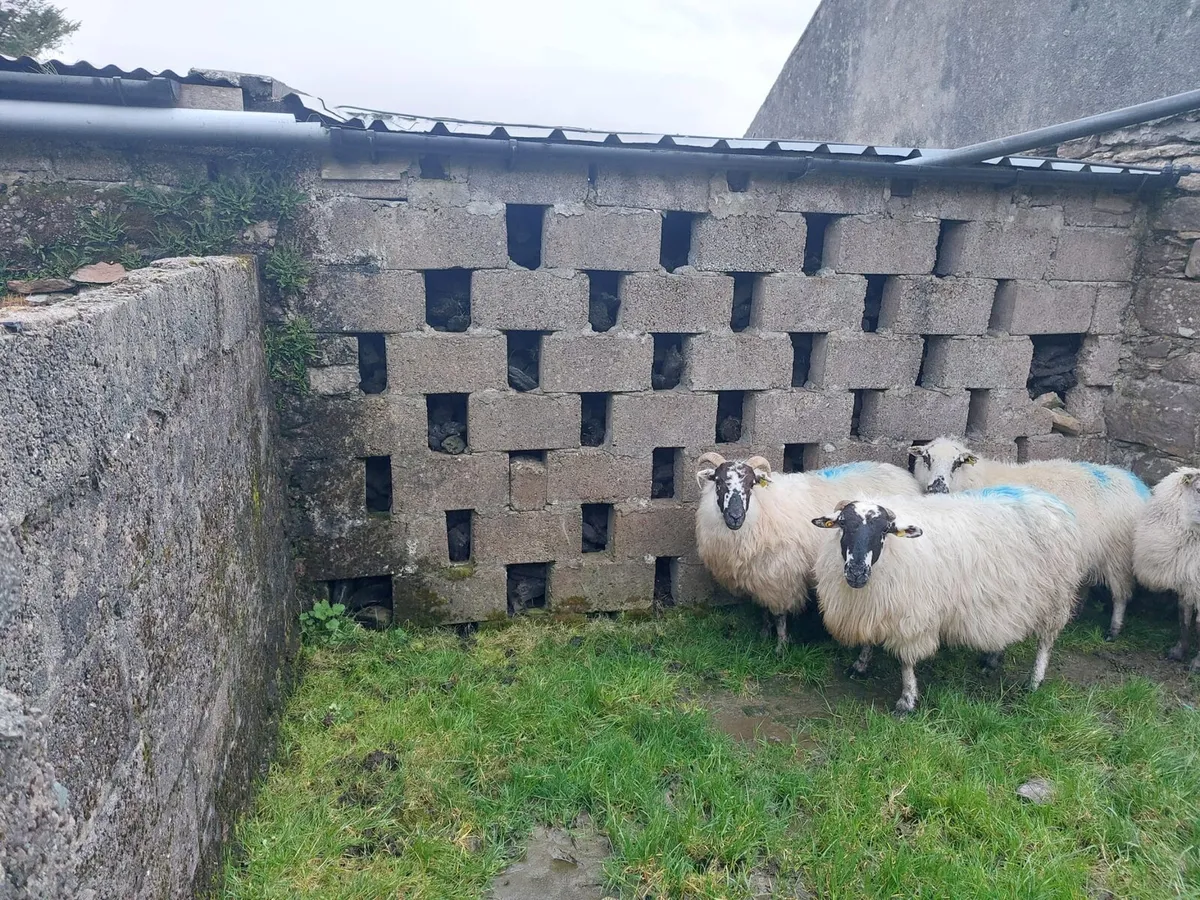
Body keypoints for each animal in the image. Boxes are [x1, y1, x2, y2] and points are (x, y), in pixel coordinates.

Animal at [693, 452, 920, 655]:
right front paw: (764, 634)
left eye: (751, 484)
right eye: (719, 482)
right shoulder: (761, 576)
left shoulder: (779, 576)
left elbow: (779, 615)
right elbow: (764, 609)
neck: (761, 509)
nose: (735, 516)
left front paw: (780, 647)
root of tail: (904, 474)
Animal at [810, 488, 1085, 714]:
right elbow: (868, 642)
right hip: (1010, 598)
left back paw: (1034, 682)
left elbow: (906, 662)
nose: (857, 572)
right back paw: (991, 660)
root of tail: (1049, 500)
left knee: (1045, 642)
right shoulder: (874, 607)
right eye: (843, 523)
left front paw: (906, 702)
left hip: (1055, 598)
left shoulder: (912, 617)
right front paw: (859, 666)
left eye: (885, 529)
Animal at [910, 436, 1150, 642]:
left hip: (1118, 554)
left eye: (958, 463)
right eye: (926, 458)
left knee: (1121, 596)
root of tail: (1135, 482)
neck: (976, 479)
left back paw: (1113, 630)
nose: (937, 487)